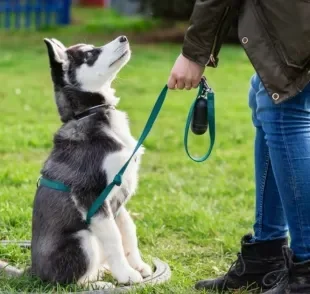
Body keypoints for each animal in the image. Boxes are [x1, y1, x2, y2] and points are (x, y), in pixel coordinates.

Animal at [26, 36, 153, 290]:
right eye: (90, 54)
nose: (123, 37)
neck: (91, 113)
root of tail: (35, 273)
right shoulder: (91, 195)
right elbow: (114, 237)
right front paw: (126, 274)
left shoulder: (117, 197)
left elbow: (128, 229)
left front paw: (138, 265)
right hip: (83, 239)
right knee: (69, 282)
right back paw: (98, 284)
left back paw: (102, 271)